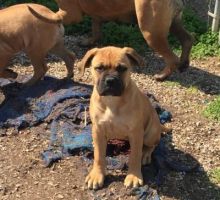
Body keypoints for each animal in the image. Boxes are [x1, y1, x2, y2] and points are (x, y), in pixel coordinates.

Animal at [55, 0, 193, 81]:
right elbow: (96, 30)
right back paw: (183, 64)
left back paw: (162, 76)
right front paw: (89, 42)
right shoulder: (97, 14)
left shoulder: (70, 13)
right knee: (187, 39)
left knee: (171, 57)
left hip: (151, 32)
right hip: (174, 24)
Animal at [78, 46, 171, 189]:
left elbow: (135, 155)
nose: (110, 80)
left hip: (150, 134)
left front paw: (133, 176)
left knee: (152, 145)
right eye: (99, 68)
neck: (112, 101)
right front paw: (97, 175)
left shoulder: (136, 132)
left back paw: (145, 154)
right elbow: (98, 155)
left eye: (122, 68)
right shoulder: (98, 129)